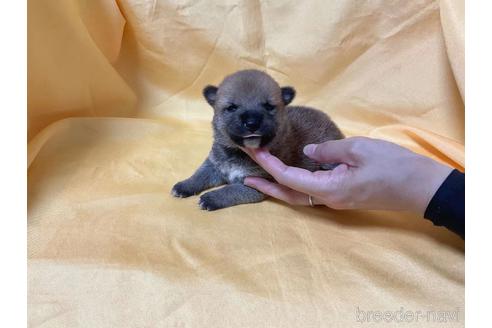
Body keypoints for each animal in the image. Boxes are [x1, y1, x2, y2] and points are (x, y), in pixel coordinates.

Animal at [171, 69, 344, 210]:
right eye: (232, 107)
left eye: (268, 106)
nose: (252, 123)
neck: (239, 153)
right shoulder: (213, 166)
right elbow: (199, 175)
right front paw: (184, 185)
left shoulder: (254, 184)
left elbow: (230, 190)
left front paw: (211, 198)